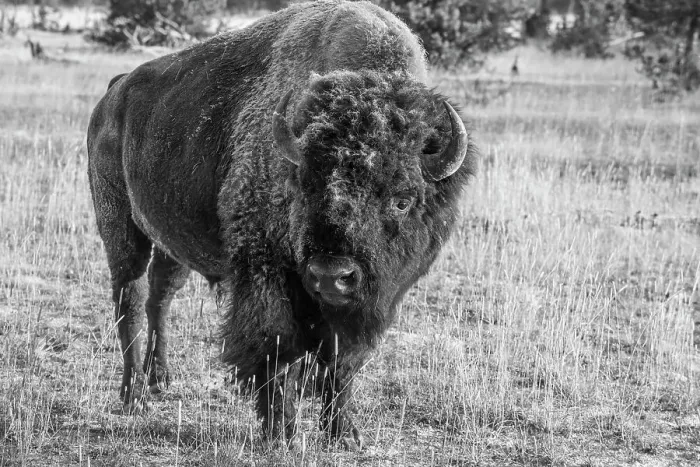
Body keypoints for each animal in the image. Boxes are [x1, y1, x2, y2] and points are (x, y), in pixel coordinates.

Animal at [87, 0, 476, 450]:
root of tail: (113, 93)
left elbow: (343, 363)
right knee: (129, 300)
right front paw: (281, 433)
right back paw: (133, 396)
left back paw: (160, 381)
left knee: (159, 298)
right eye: (304, 187)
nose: (331, 275)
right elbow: (277, 350)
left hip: (172, 244)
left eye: (402, 199)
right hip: (119, 227)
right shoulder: (267, 276)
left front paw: (344, 434)